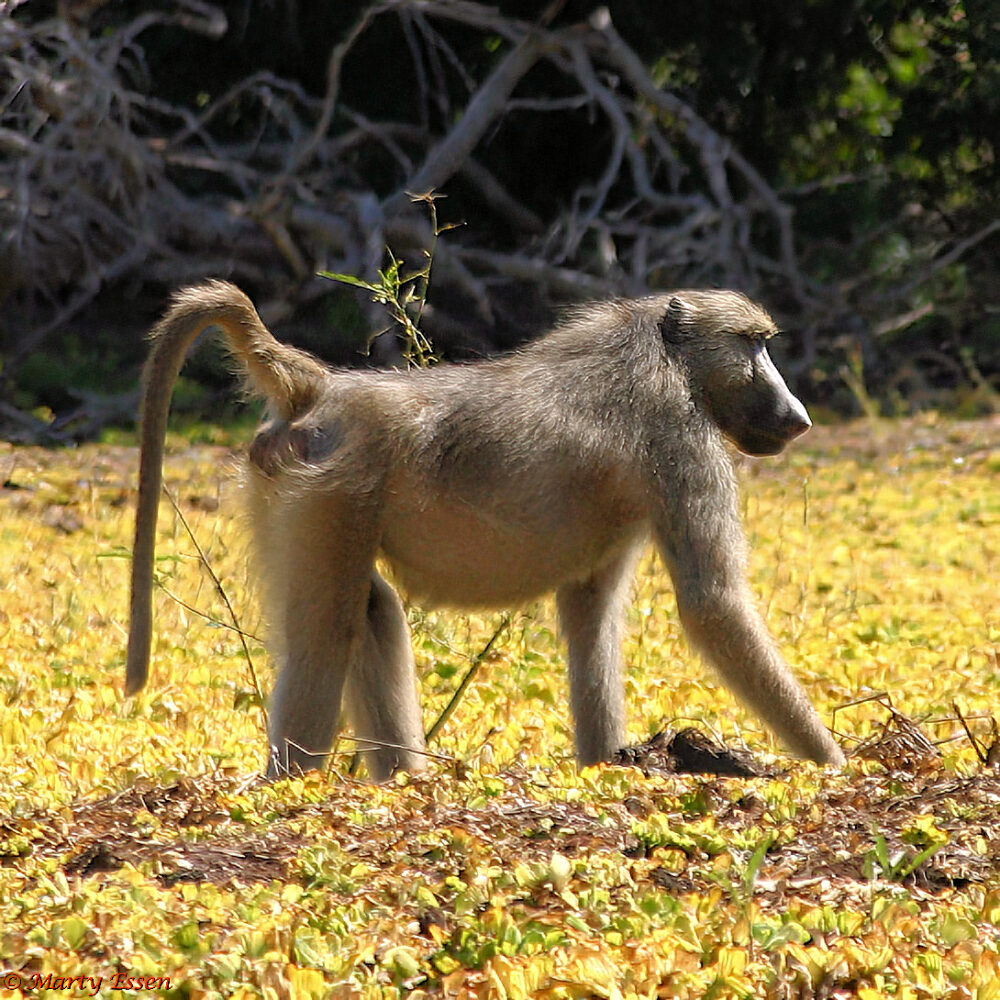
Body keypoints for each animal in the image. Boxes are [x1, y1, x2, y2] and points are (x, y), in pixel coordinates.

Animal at [127, 280, 846, 780]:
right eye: (754, 343)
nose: (800, 416)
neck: (661, 354)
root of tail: (324, 390)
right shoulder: (679, 435)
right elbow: (712, 606)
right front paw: (835, 764)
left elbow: (589, 617)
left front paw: (605, 763)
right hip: (331, 489)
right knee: (327, 632)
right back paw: (292, 786)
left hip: (290, 486)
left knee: (368, 610)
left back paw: (407, 782)